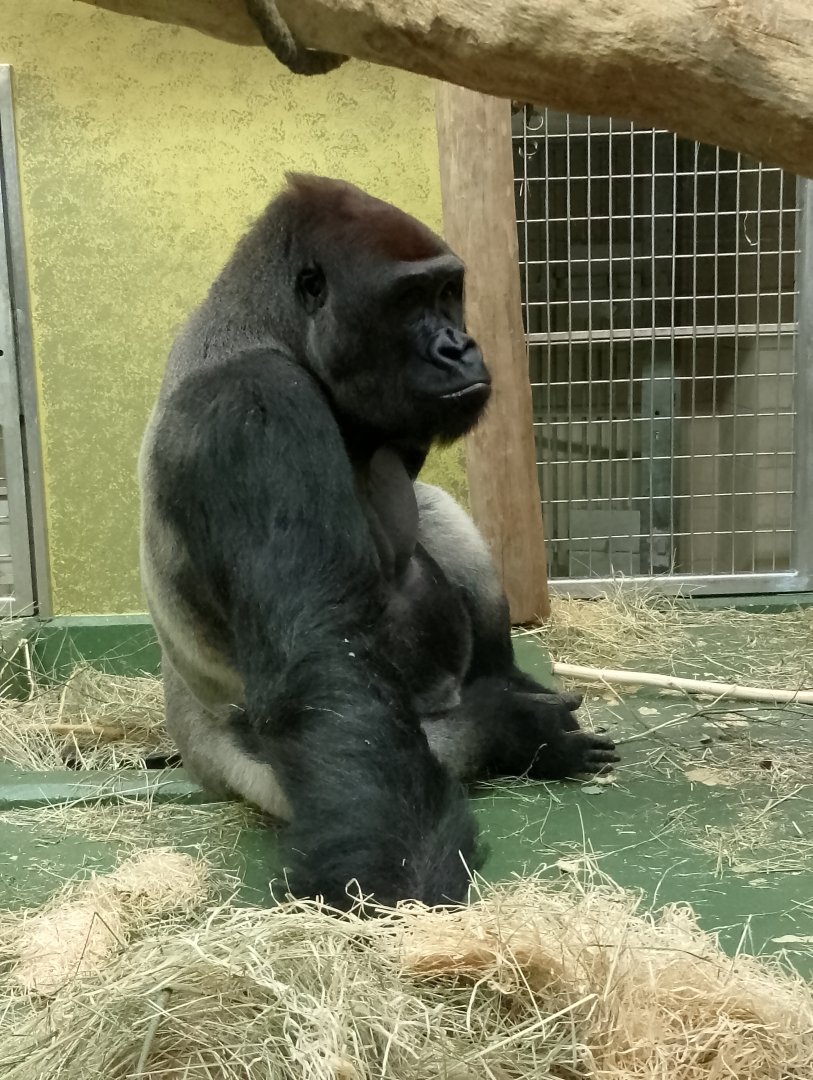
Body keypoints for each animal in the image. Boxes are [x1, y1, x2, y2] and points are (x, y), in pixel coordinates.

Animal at [138, 174, 619, 910]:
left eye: (447, 291)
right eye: (408, 300)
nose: (458, 346)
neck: (271, 330)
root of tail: (187, 738)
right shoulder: (254, 411)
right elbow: (326, 669)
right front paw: (393, 879)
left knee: (438, 516)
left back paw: (508, 686)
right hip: (249, 773)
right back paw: (511, 735)